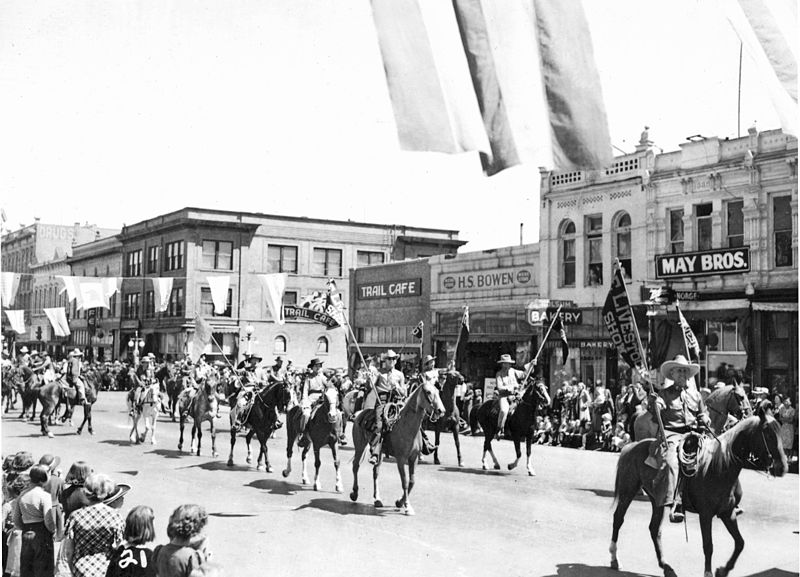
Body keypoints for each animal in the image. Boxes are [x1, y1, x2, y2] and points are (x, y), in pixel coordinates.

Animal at [350, 378, 446, 512]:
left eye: (438, 391)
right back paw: (354, 493)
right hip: (359, 446)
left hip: (379, 452)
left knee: (375, 472)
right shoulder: (401, 459)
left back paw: (377, 499)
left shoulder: (413, 458)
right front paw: (407, 506)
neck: (406, 426)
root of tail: (360, 413)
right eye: (428, 392)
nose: (441, 411)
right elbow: (404, 481)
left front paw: (400, 502)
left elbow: (412, 481)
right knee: (355, 466)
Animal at [612, 400, 788, 576]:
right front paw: (709, 572)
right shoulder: (705, 514)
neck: (720, 467)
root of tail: (631, 447)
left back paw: (666, 566)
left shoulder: (728, 513)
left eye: (780, 433)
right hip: (628, 491)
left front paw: (723, 570)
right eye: (769, 434)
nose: (782, 467)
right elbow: (708, 546)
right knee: (618, 519)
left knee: (655, 529)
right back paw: (615, 559)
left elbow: (740, 543)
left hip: (657, 500)